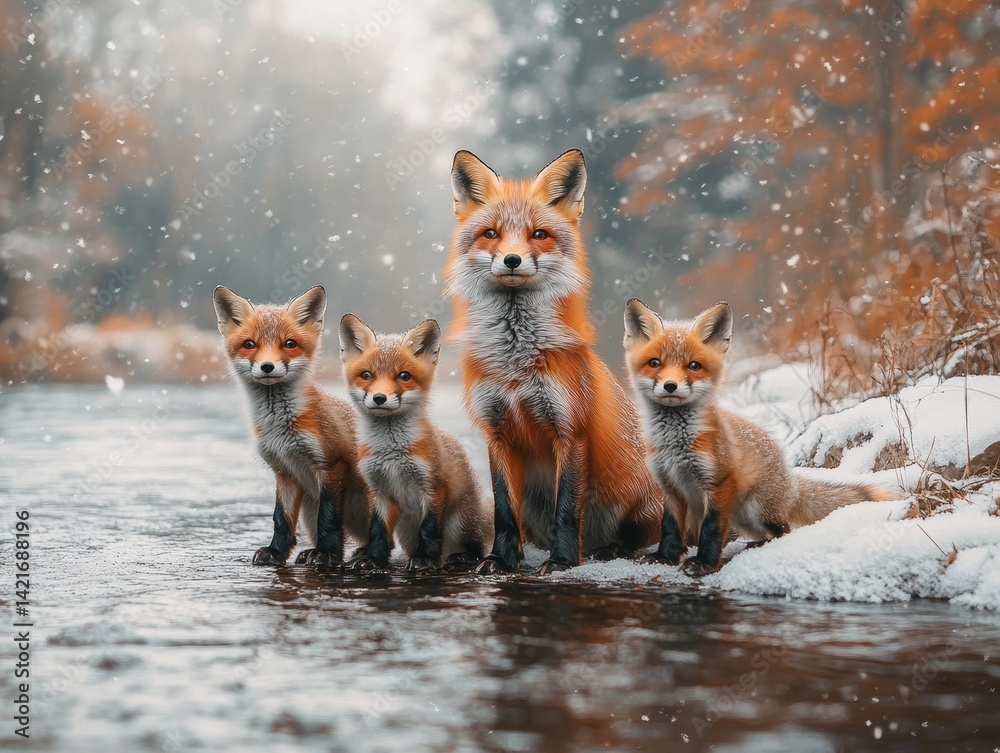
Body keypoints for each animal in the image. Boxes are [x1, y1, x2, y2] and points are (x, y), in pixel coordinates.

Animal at [213, 285, 392, 569]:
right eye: (250, 344)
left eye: (289, 344)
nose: (267, 366)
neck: (282, 429)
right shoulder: (284, 470)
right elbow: (281, 518)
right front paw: (276, 552)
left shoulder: (331, 463)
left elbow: (328, 519)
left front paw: (326, 554)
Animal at [339, 314, 493, 571]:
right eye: (367, 375)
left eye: (404, 376)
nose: (379, 398)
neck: (391, 452)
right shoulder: (377, 489)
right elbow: (377, 530)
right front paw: (373, 559)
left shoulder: (433, 486)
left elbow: (429, 529)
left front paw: (425, 559)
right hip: (406, 530)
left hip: (459, 523)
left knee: (476, 547)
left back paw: (458, 557)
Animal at [445, 148, 669, 575]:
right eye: (491, 234)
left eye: (539, 235)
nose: (512, 260)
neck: (515, 364)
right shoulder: (497, 433)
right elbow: (503, 510)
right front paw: (501, 560)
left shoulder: (570, 430)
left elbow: (566, 507)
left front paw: (563, 561)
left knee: (637, 539)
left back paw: (607, 550)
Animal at [623, 298, 897, 575]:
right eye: (655, 363)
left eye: (694, 366)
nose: (670, 386)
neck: (675, 445)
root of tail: (790, 480)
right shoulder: (670, 485)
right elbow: (669, 526)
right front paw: (665, 557)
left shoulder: (720, 481)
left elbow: (712, 529)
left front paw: (704, 563)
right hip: (741, 517)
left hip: (754, 510)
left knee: (784, 530)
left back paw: (758, 548)